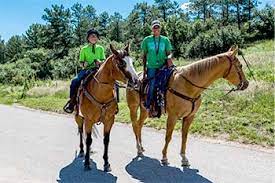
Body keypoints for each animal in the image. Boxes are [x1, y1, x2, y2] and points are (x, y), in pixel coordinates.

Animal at [75, 44, 139, 172]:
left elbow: (106, 140)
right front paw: (87, 163)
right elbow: (89, 140)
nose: (136, 81)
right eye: (121, 63)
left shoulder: (109, 120)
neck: (100, 93)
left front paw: (106, 163)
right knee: (80, 130)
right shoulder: (89, 120)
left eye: (132, 61)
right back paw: (82, 151)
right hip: (78, 117)